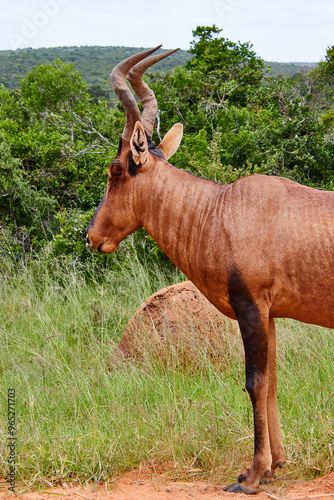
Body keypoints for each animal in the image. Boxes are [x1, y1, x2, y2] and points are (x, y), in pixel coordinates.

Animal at [86, 46, 334, 492]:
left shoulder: (250, 309)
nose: (92, 237)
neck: (221, 209)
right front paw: (274, 465)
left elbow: (254, 383)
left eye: (115, 170)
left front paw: (250, 476)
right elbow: (271, 381)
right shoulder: (268, 315)